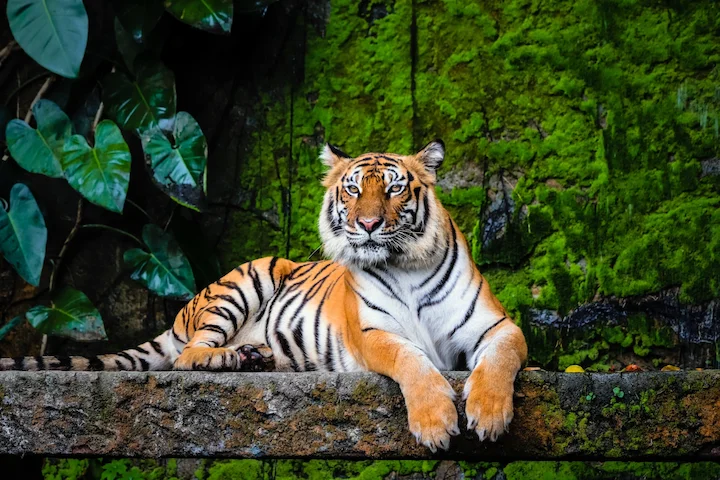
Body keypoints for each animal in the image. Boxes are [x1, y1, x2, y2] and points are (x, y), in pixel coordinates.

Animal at [0, 140, 528, 452]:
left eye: (396, 189)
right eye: (353, 189)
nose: (368, 224)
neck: (404, 264)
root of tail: (181, 313)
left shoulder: (497, 326)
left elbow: (499, 360)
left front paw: (489, 415)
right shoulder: (374, 333)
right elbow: (412, 362)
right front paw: (437, 423)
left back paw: (258, 356)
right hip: (248, 279)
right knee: (188, 356)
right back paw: (232, 358)